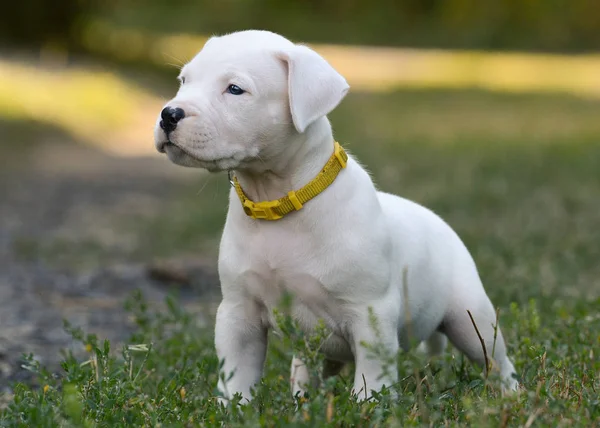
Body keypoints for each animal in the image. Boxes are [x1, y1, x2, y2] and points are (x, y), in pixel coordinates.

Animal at [152, 30, 516, 402]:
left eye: (235, 89)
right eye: (184, 81)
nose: (168, 114)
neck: (278, 201)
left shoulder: (370, 314)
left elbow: (371, 378)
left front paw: (369, 406)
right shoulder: (239, 314)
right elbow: (236, 376)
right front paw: (232, 407)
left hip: (471, 317)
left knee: (496, 359)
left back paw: (511, 394)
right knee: (308, 368)